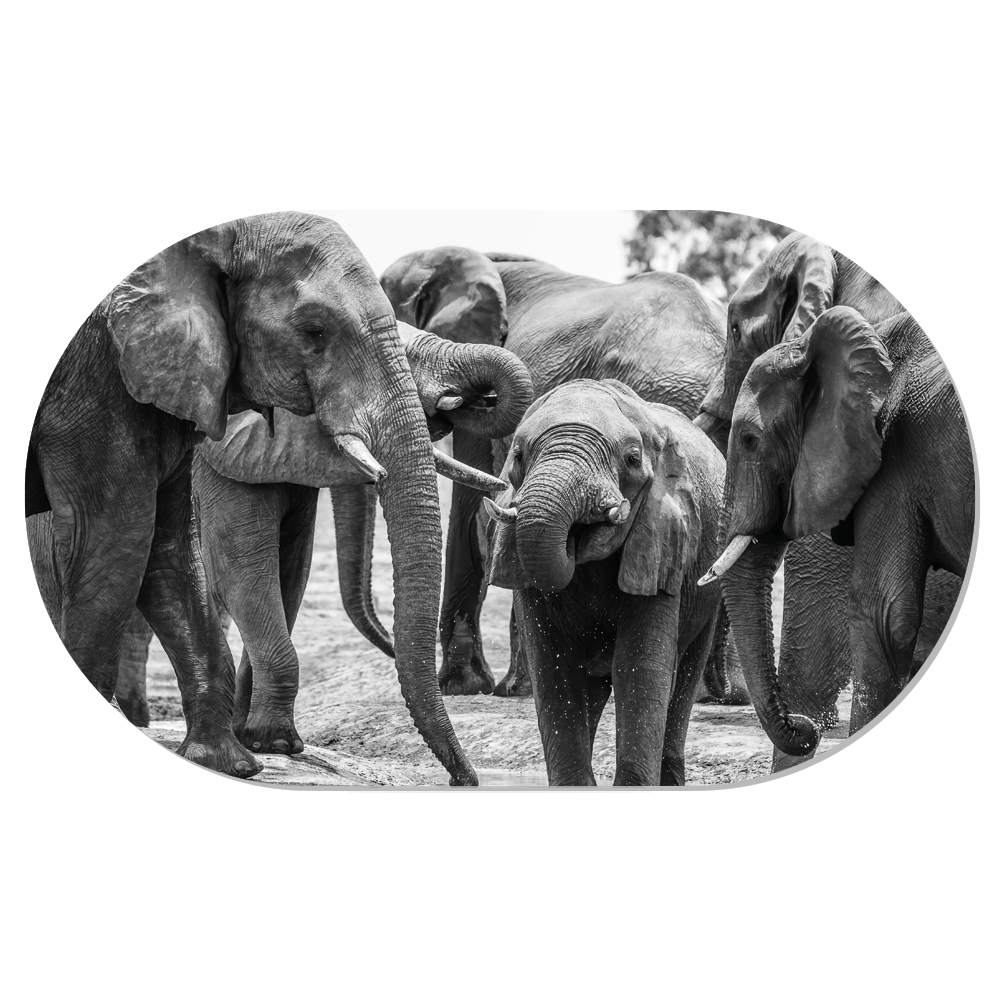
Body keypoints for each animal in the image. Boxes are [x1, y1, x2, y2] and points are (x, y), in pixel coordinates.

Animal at [26, 211, 478, 784]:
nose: (464, 780)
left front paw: (234, 758)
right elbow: (127, 548)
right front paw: (267, 745)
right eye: (314, 333)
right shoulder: (101, 392)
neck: (214, 242)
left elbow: (179, 555)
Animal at [486, 379, 726, 785]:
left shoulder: (663, 542)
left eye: (632, 459)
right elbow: (554, 669)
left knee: (685, 675)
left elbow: (639, 668)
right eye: (517, 455)